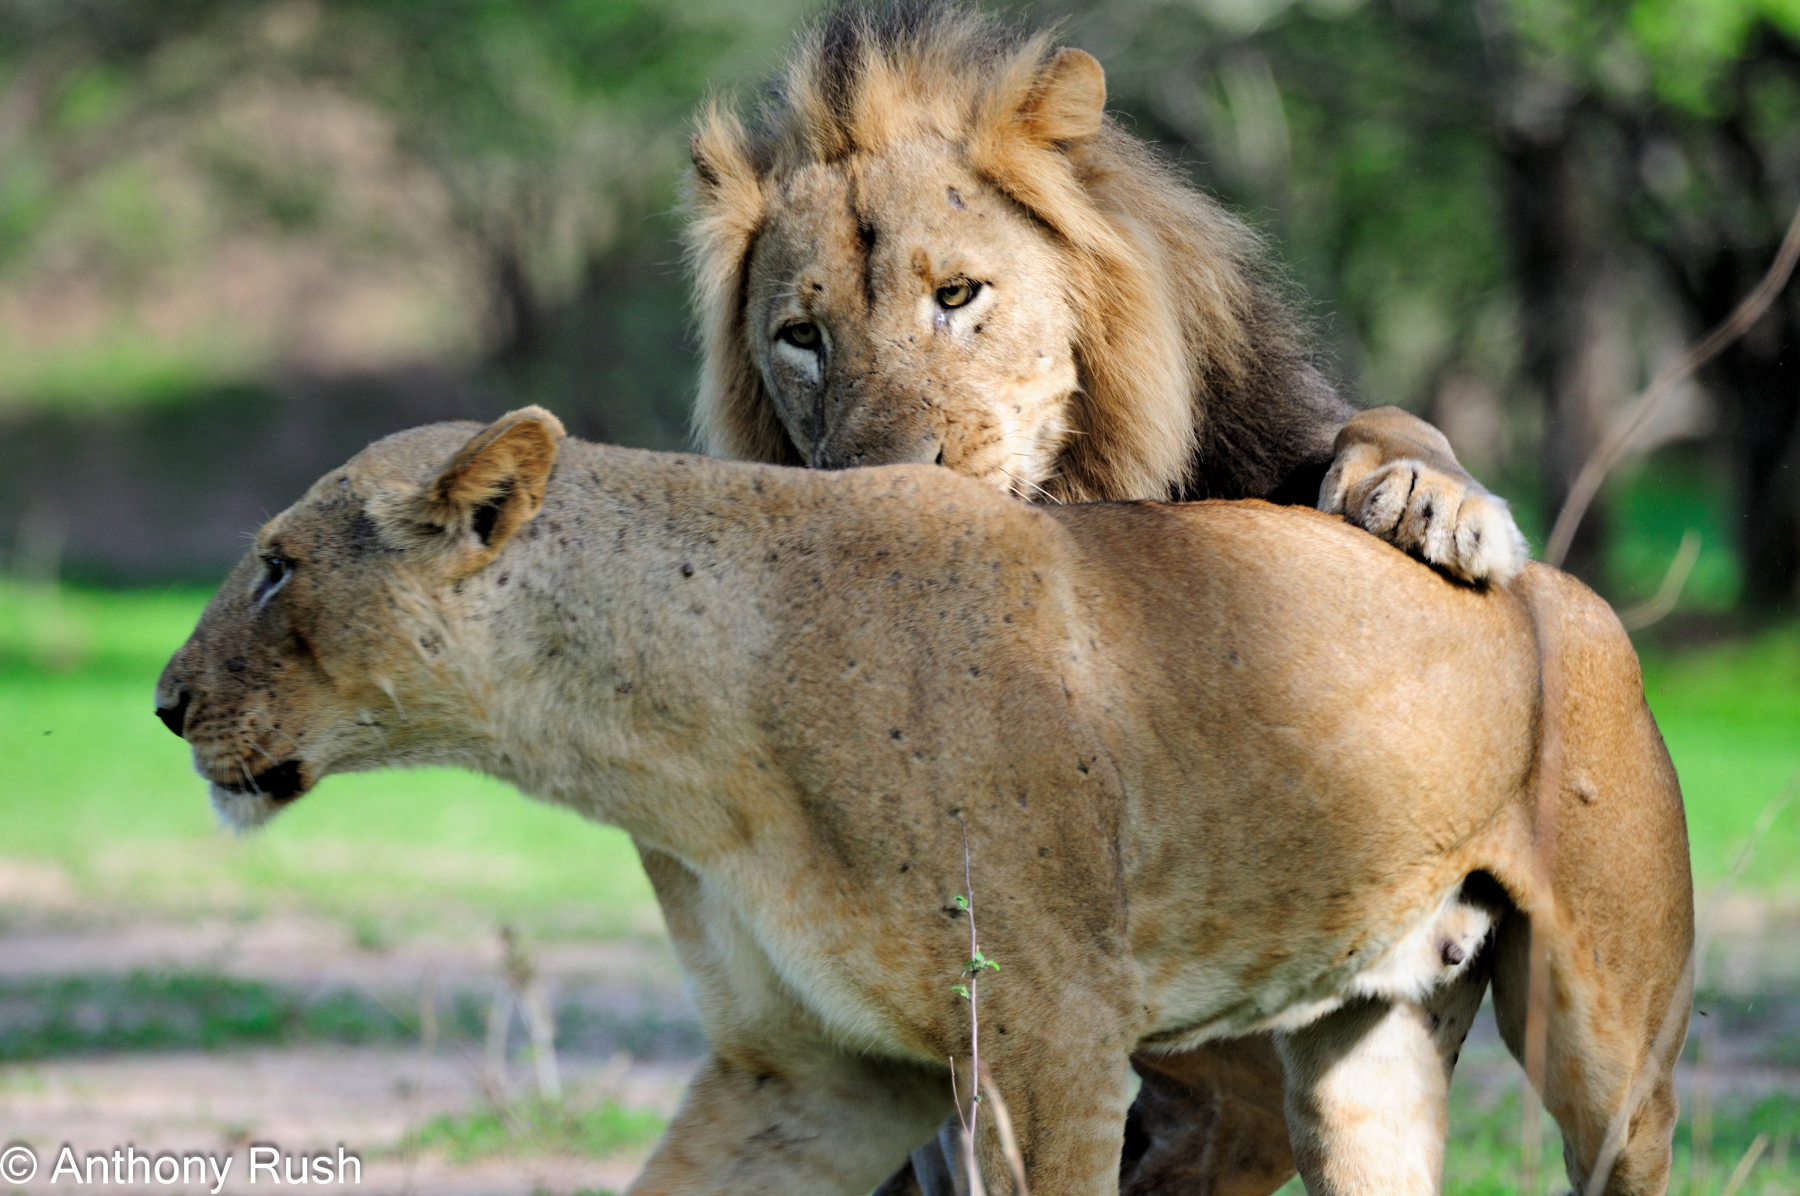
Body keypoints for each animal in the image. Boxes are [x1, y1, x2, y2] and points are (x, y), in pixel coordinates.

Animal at [157, 409, 1690, 1196]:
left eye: (279, 567)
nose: (164, 703)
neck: (665, 738)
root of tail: (1567, 589)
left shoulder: (1052, 1041)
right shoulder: (812, 1069)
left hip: (1613, 1046)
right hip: (1366, 1050)